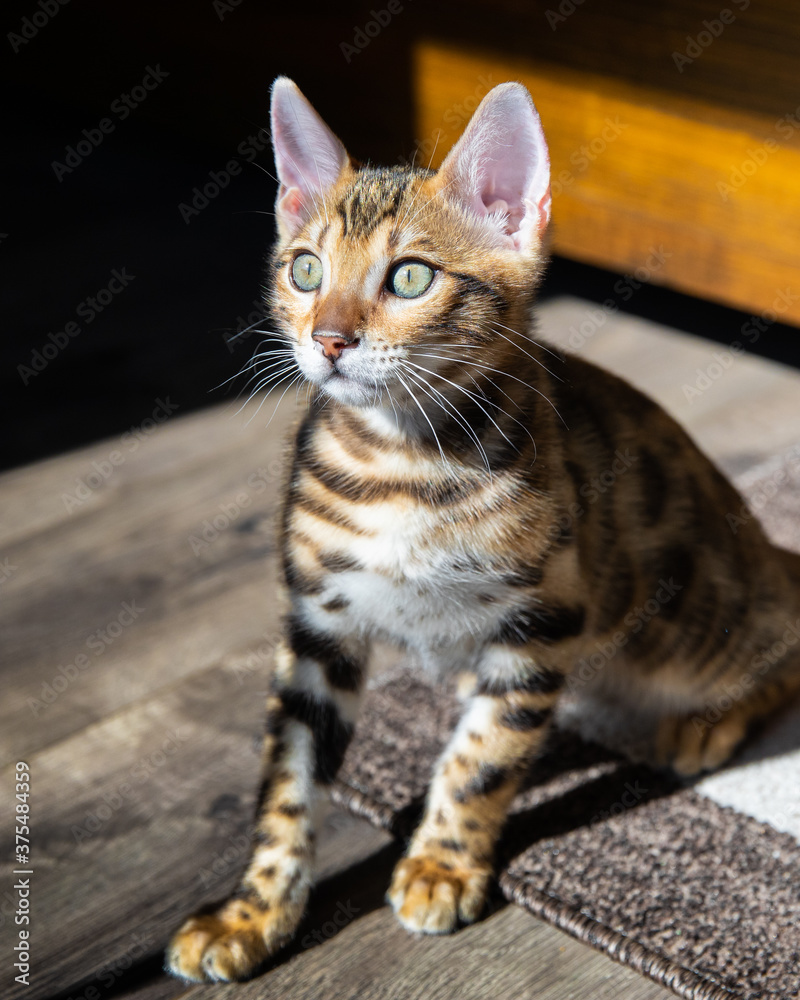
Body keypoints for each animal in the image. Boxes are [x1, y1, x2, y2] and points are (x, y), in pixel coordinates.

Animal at [166, 80, 796, 984]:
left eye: (411, 277)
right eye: (305, 269)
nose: (328, 340)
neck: (400, 466)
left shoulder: (544, 618)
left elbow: (483, 758)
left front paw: (441, 865)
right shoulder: (317, 624)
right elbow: (287, 777)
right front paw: (253, 910)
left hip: (691, 623)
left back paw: (709, 720)